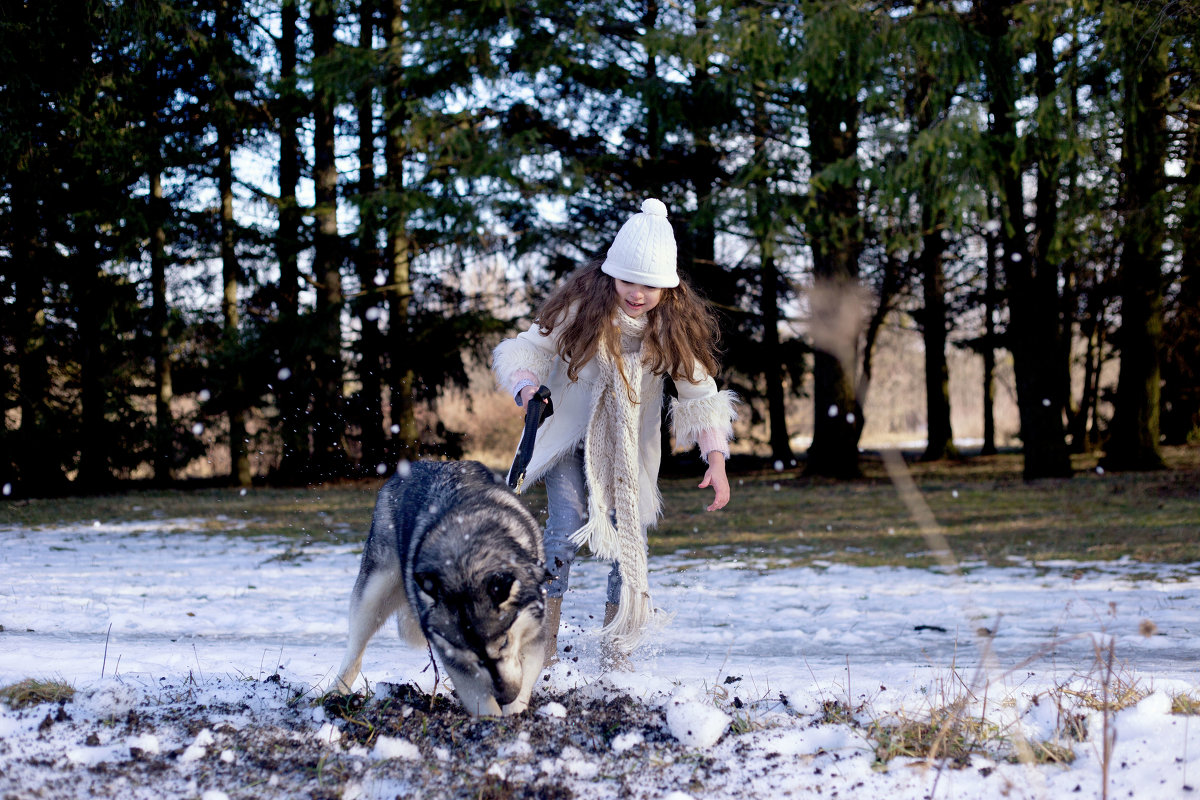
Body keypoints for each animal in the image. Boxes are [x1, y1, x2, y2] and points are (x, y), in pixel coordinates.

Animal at [333, 460, 549, 714]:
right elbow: (481, 699)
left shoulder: (533, 634)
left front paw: (513, 715)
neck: (463, 554)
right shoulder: (456, 658)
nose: (504, 696)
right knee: (355, 652)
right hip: (374, 593)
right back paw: (335, 694)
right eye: (471, 654)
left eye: (504, 642)